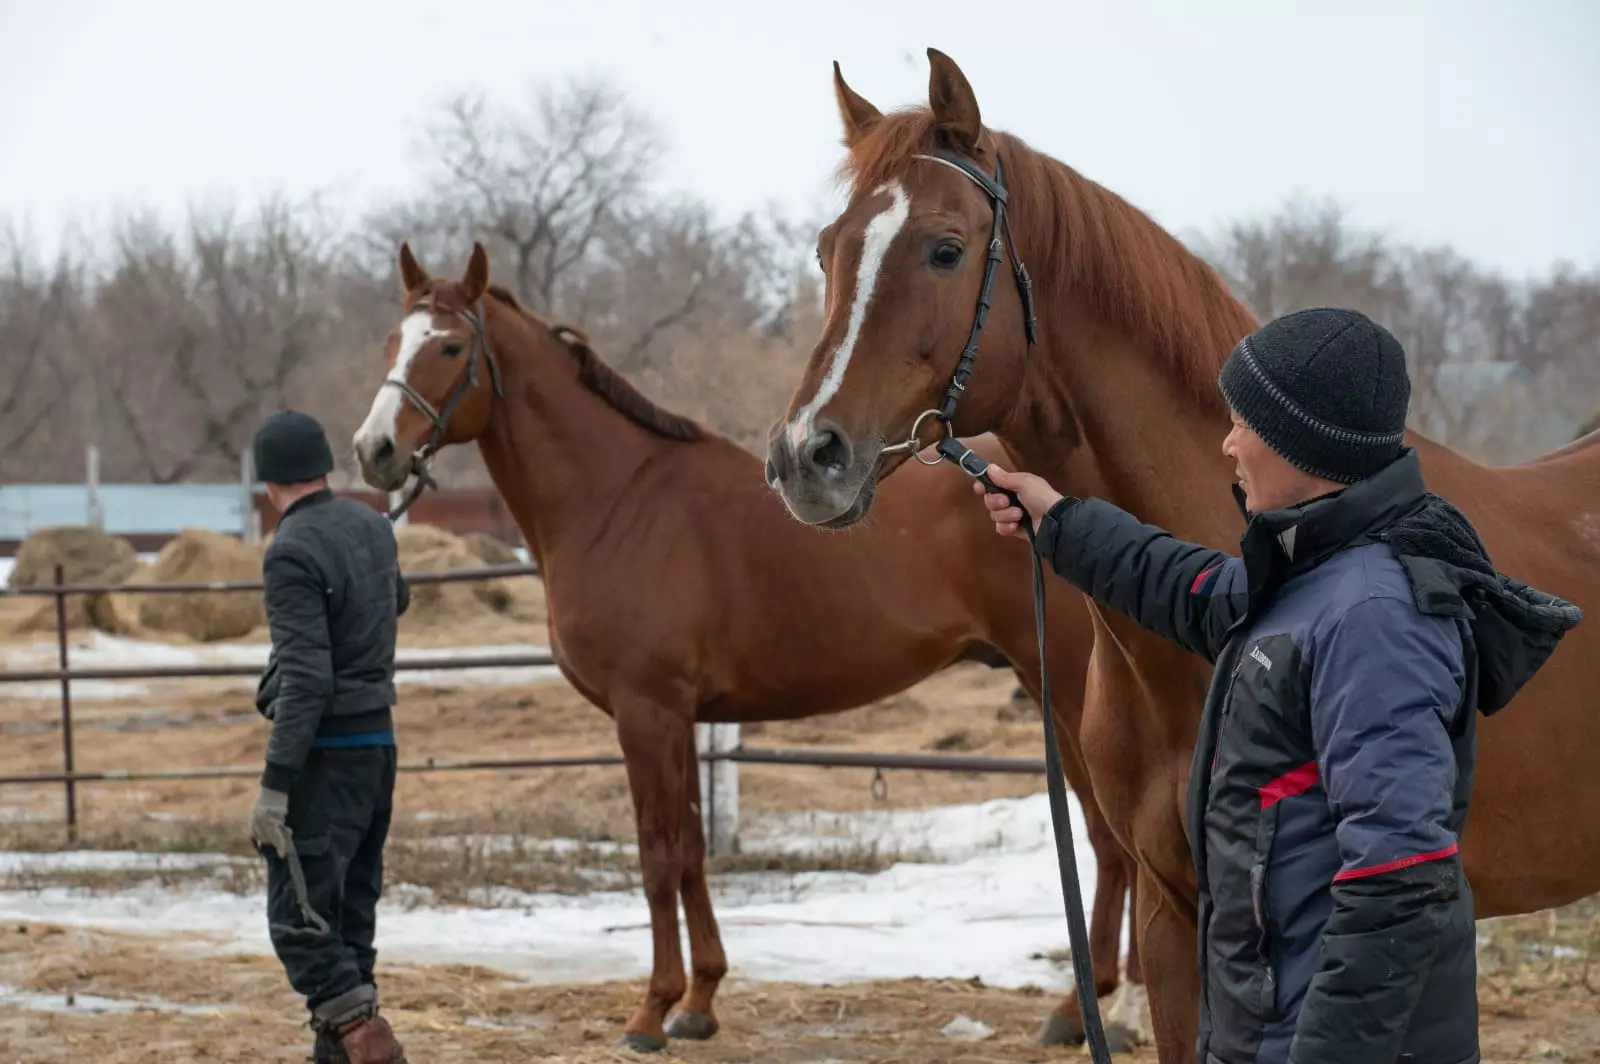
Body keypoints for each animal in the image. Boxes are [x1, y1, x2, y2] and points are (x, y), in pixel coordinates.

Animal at [350, 244, 1152, 1049]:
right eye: (389, 343)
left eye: (450, 348)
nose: (374, 451)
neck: (617, 502)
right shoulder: (680, 718)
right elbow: (692, 853)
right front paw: (699, 1002)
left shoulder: (645, 712)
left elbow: (656, 856)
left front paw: (650, 1012)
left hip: (1066, 688)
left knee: (1114, 838)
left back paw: (1109, 1008)